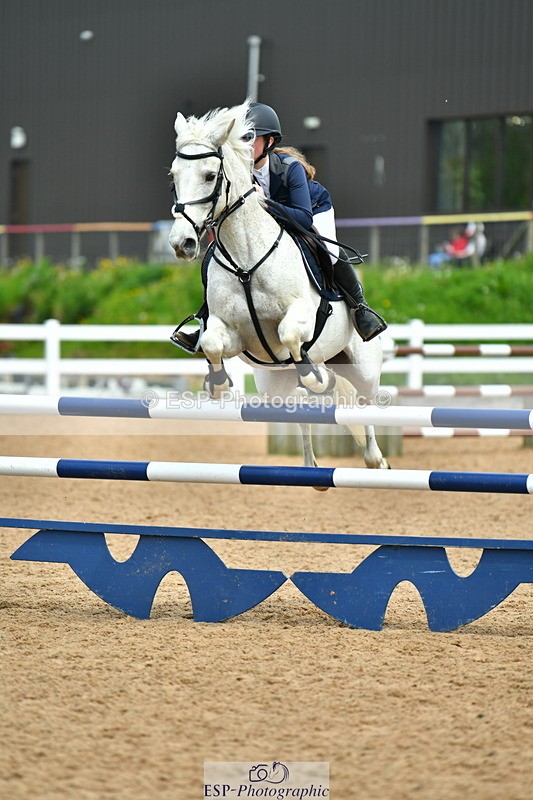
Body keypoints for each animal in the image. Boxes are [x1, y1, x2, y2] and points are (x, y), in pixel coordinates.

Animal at [168, 100, 389, 472]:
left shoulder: (300, 315)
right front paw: (218, 385)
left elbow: (289, 335)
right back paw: (310, 464)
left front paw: (316, 377)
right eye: (173, 176)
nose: (181, 243)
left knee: (367, 403)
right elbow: (211, 342)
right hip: (274, 383)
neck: (245, 260)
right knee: (300, 412)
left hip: (363, 367)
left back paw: (375, 458)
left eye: (210, 176)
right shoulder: (233, 333)